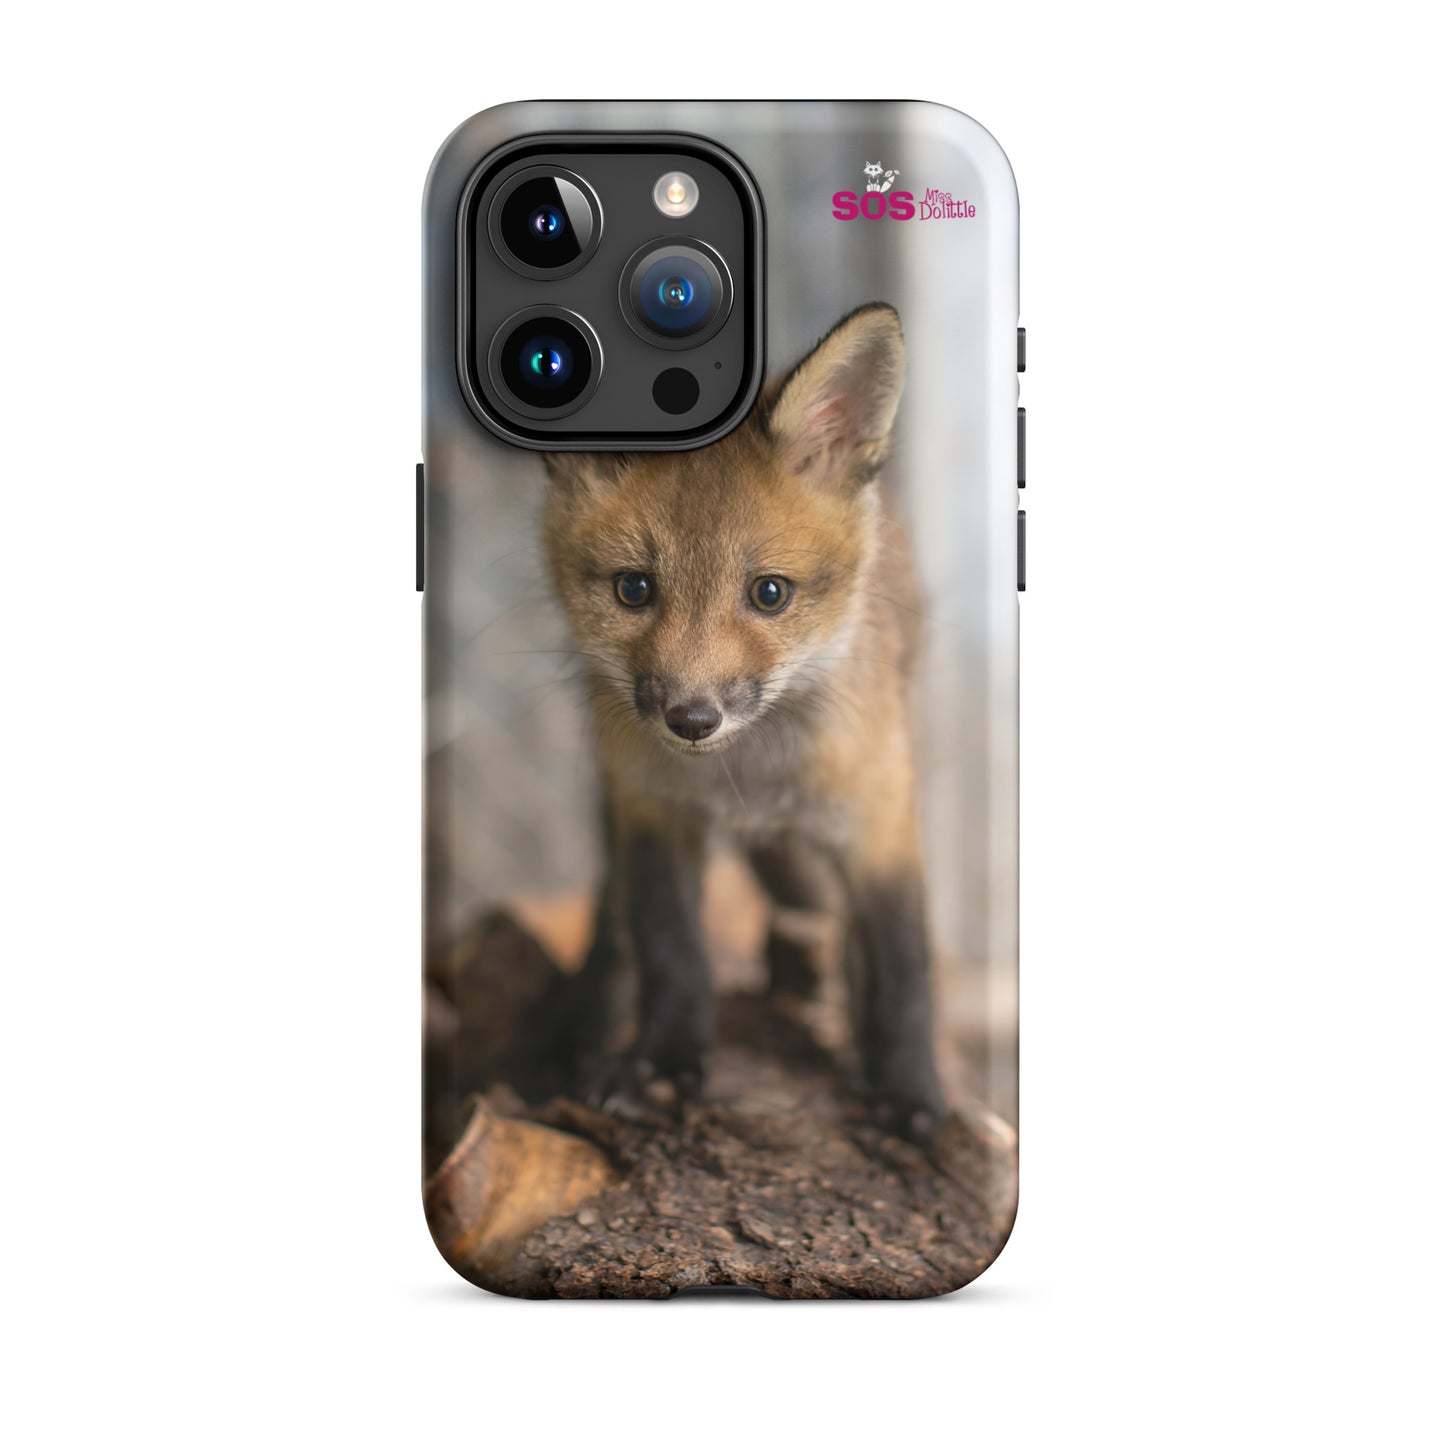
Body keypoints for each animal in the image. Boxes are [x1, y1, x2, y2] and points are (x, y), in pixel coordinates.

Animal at [543, 304, 946, 1140]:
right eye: (633, 588)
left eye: (769, 593)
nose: (691, 718)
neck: (749, 784)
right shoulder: (653, 811)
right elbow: (669, 947)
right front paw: (662, 1065)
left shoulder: (879, 816)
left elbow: (901, 964)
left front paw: (908, 1095)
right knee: (610, 922)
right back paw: (578, 1029)